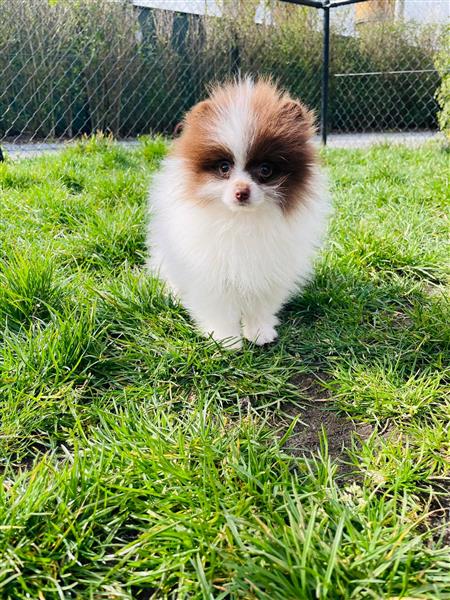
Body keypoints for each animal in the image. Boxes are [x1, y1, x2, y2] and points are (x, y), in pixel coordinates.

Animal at [148, 78, 330, 350]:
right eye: (224, 167)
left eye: (265, 170)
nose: (241, 192)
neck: (241, 220)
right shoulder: (208, 269)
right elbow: (219, 307)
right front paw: (226, 340)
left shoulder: (268, 268)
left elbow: (260, 304)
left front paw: (259, 332)